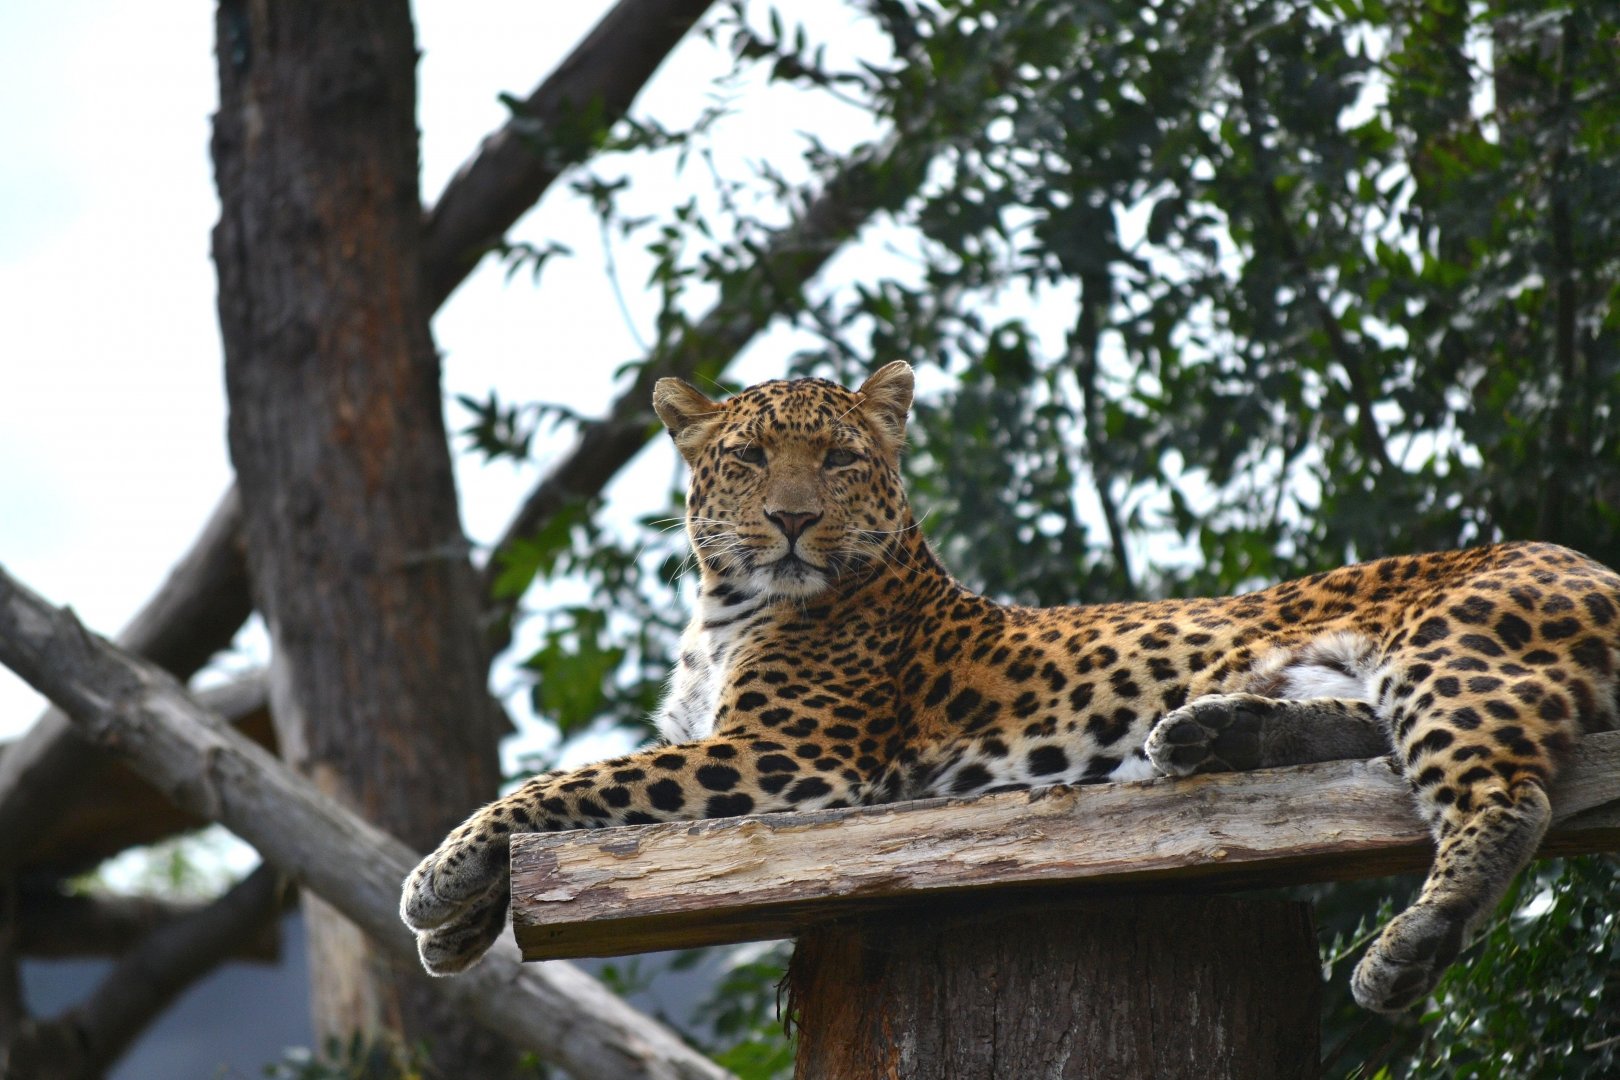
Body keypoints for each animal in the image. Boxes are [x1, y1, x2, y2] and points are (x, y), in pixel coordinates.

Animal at [402, 361, 1620, 1013]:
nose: (791, 520)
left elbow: (566, 785)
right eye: (747, 459)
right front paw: (460, 932)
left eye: (839, 460)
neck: (724, 606)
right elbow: (585, 790)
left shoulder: (782, 757)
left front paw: (436, 880)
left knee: (1504, 794)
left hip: (1452, 648)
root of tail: (1590, 559)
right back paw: (1211, 733)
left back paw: (1411, 944)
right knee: (1362, 733)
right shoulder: (723, 741)